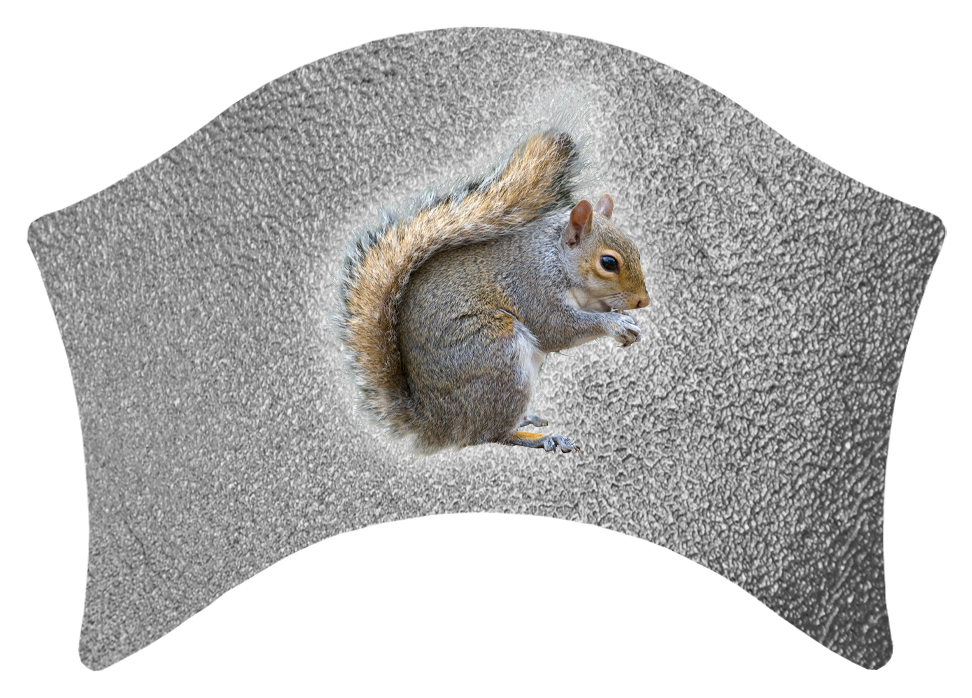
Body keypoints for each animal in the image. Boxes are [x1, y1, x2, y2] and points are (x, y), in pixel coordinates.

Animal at [335, 123, 650, 454]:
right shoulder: (532, 285)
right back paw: (540, 438)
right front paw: (614, 323)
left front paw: (627, 321)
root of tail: (436, 423)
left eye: (636, 249)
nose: (643, 301)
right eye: (608, 262)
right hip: (497, 355)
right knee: (490, 434)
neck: (555, 256)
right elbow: (556, 329)